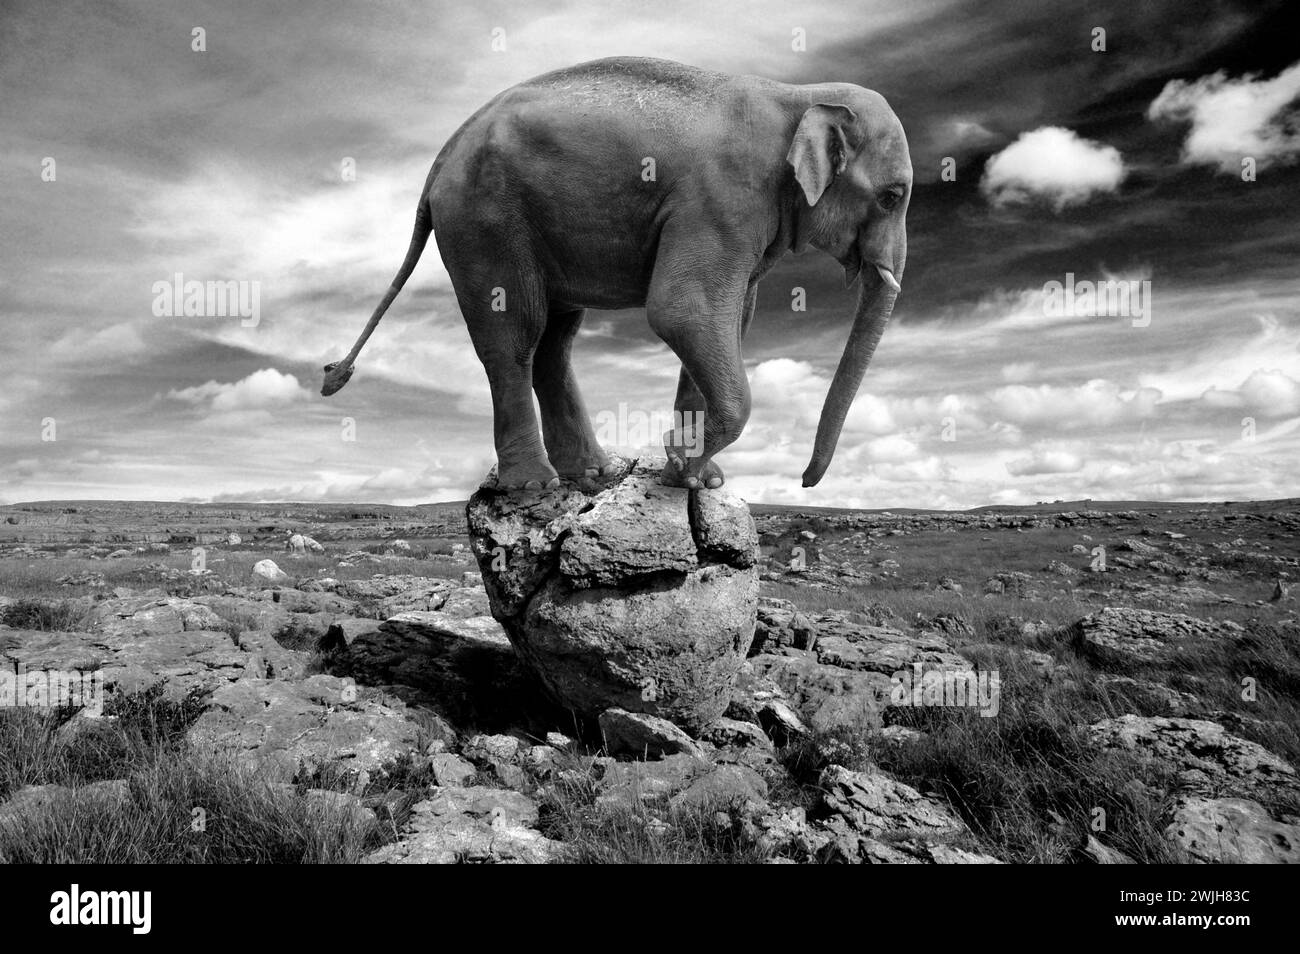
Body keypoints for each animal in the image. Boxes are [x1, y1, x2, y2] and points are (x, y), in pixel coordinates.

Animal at [322, 55, 915, 493]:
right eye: (892, 196)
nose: (805, 481)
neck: (796, 94)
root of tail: (438, 161)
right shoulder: (719, 203)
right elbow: (682, 311)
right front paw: (680, 460)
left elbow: (730, 320)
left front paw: (695, 479)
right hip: (484, 220)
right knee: (514, 335)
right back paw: (533, 486)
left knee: (555, 340)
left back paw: (592, 474)